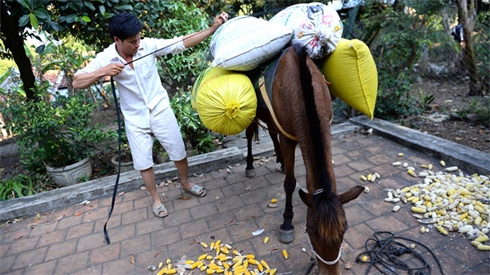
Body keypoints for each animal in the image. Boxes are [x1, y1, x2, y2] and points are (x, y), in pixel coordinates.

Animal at [245, 44, 364, 274]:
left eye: (344, 230)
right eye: (310, 231)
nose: (329, 272)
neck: (302, 87)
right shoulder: (288, 138)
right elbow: (290, 183)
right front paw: (287, 223)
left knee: (271, 132)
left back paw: (281, 162)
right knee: (248, 135)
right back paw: (249, 165)